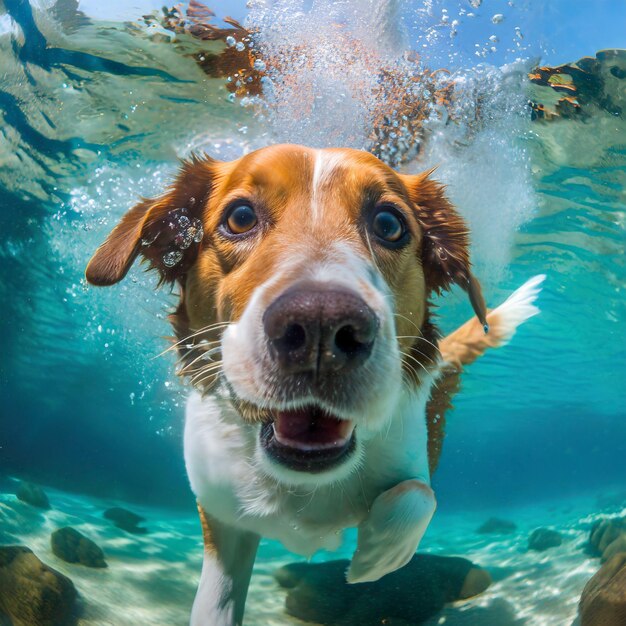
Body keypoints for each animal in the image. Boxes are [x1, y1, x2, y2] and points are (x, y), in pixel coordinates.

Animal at [84, 144, 540, 620]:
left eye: (389, 224)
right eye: (240, 217)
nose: (321, 323)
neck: (302, 482)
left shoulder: (413, 459)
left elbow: (417, 497)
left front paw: (375, 557)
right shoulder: (219, 517)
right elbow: (214, 604)